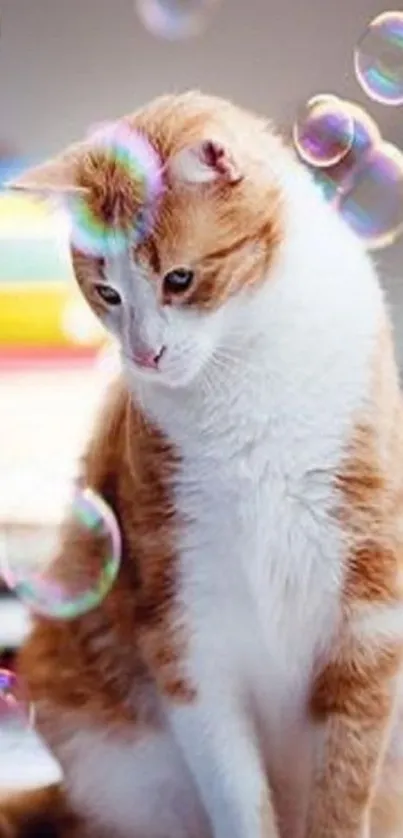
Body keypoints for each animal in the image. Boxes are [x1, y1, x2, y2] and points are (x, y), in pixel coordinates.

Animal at [0, 92, 403, 838]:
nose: (144, 353)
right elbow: (235, 790)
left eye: (179, 280)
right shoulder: (185, 622)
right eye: (107, 292)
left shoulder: (367, 611)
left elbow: (343, 787)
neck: (242, 364)